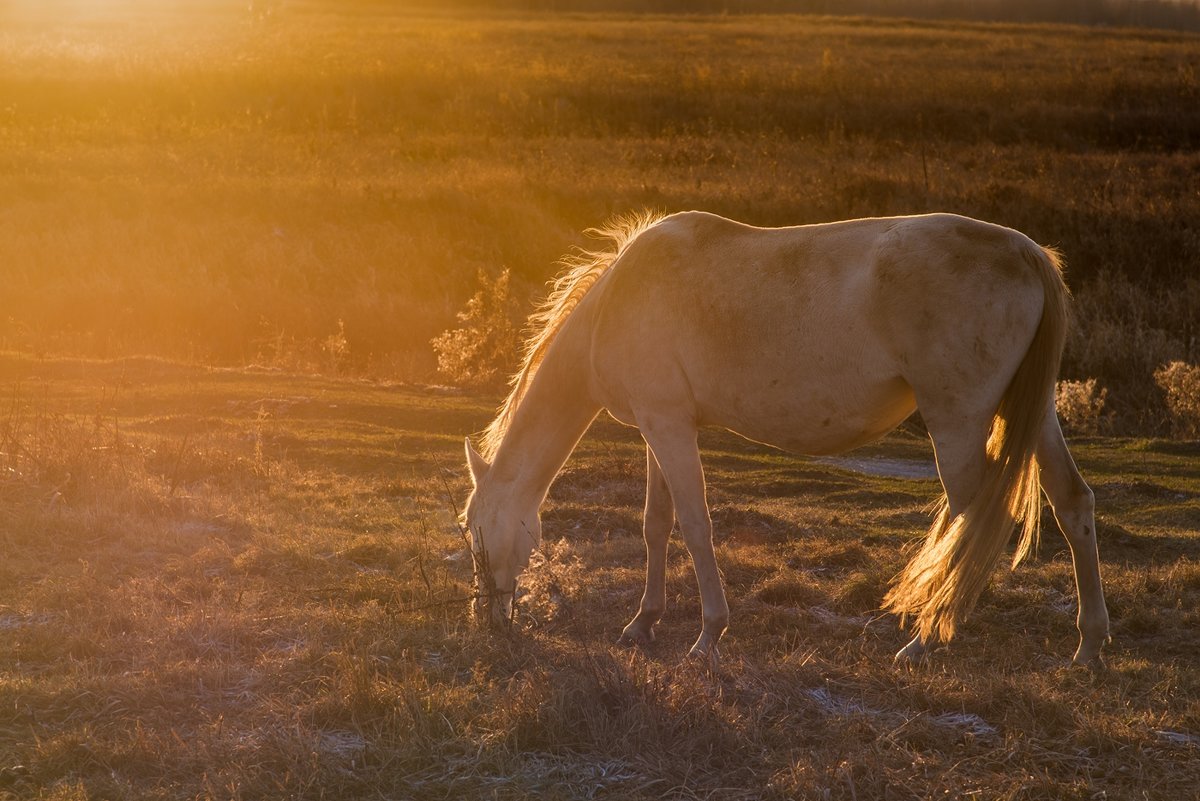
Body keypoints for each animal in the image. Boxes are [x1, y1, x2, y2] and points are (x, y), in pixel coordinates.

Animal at [458, 212, 1104, 671]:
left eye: (472, 531)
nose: (487, 621)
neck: (619, 300)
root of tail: (1027, 253)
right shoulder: (659, 426)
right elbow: (655, 525)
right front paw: (643, 624)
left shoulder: (668, 426)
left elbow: (695, 524)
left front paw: (708, 636)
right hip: (1036, 416)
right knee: (1073, 503)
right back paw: (1088, 647)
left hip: (959, 422)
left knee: (972, 524)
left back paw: (924, 640)